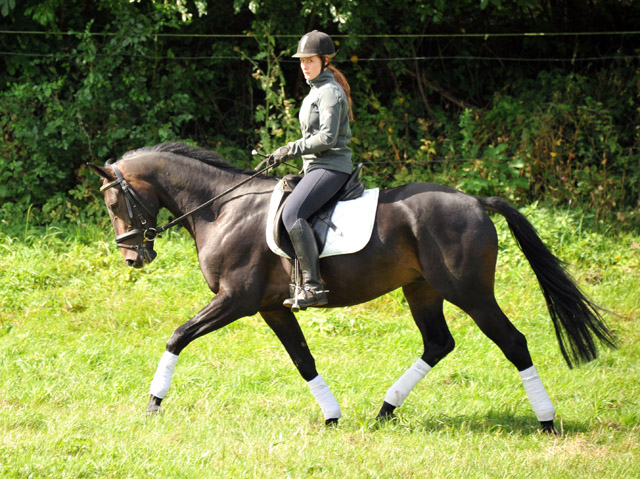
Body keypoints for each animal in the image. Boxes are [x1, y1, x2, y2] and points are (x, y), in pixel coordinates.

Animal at [89, 141, 616, 434]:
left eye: (114, 203)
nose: (133, 257)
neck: (221, 209)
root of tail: (475, 201)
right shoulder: (272, 308)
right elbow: (303, 360)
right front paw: (332, 417)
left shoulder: (234, 300)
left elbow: (177, 336)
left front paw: (152, 405)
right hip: (422, 290)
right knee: (438, 343)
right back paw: (384, 411)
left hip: (471, 294)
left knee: (514, 342)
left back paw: (545, 422)